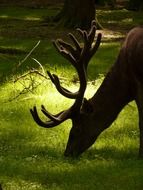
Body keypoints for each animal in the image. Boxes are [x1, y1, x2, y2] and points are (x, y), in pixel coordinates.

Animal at [30, 20, 143, 157]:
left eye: (77, 129)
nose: (67, 153)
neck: (126, 86)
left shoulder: (139, 85)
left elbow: (141, 121)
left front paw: (140, 154)